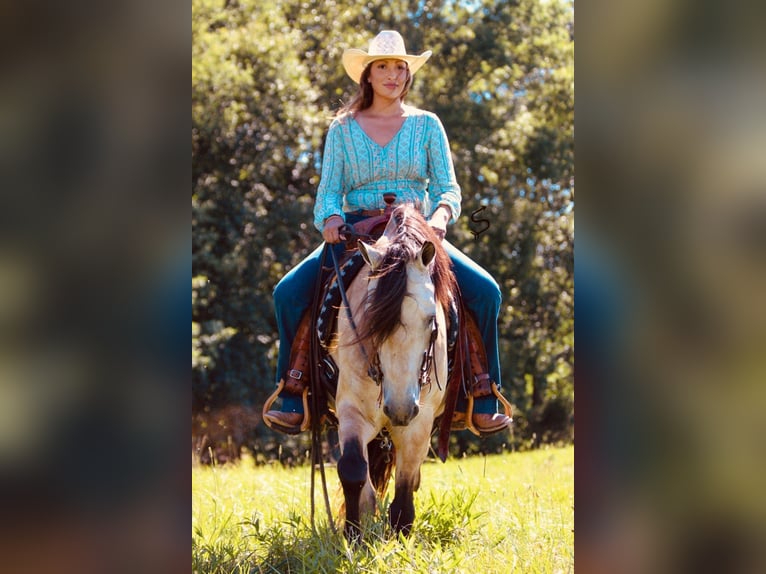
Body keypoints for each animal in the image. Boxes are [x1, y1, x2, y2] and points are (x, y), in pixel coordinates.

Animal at [322, 205, 456, 544]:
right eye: (370, 320)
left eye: (432, 322)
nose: (399, 408)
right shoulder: (351, 409)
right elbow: (353, 470)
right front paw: (352, 536)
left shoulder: (420, 421)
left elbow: (405, 482)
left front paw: (401, 535)